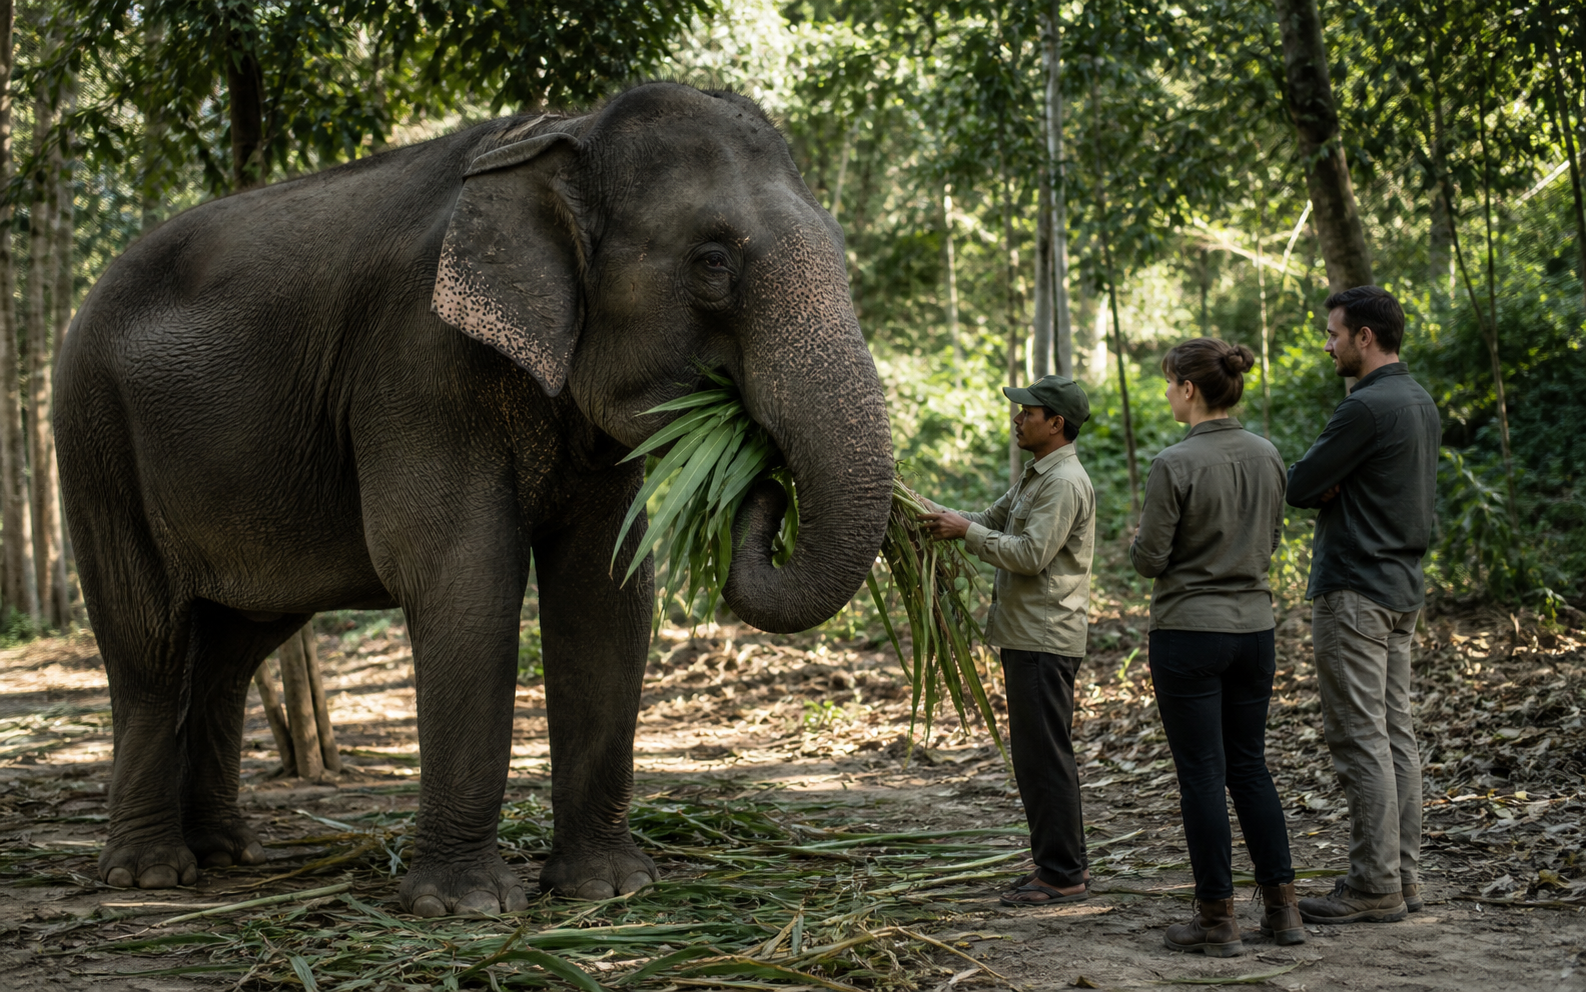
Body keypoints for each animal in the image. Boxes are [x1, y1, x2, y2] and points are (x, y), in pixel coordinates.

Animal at [54, 81, 894, 916]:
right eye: (713, 260)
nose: (761, 479)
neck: (566, 131)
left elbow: (607, 589)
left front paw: (607, 889)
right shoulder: (417, 366)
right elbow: (464, 574)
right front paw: (467, 906)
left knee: (232, 648)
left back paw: (229, 854)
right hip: (94, 441)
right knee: (149, 645)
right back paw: (150, 875)